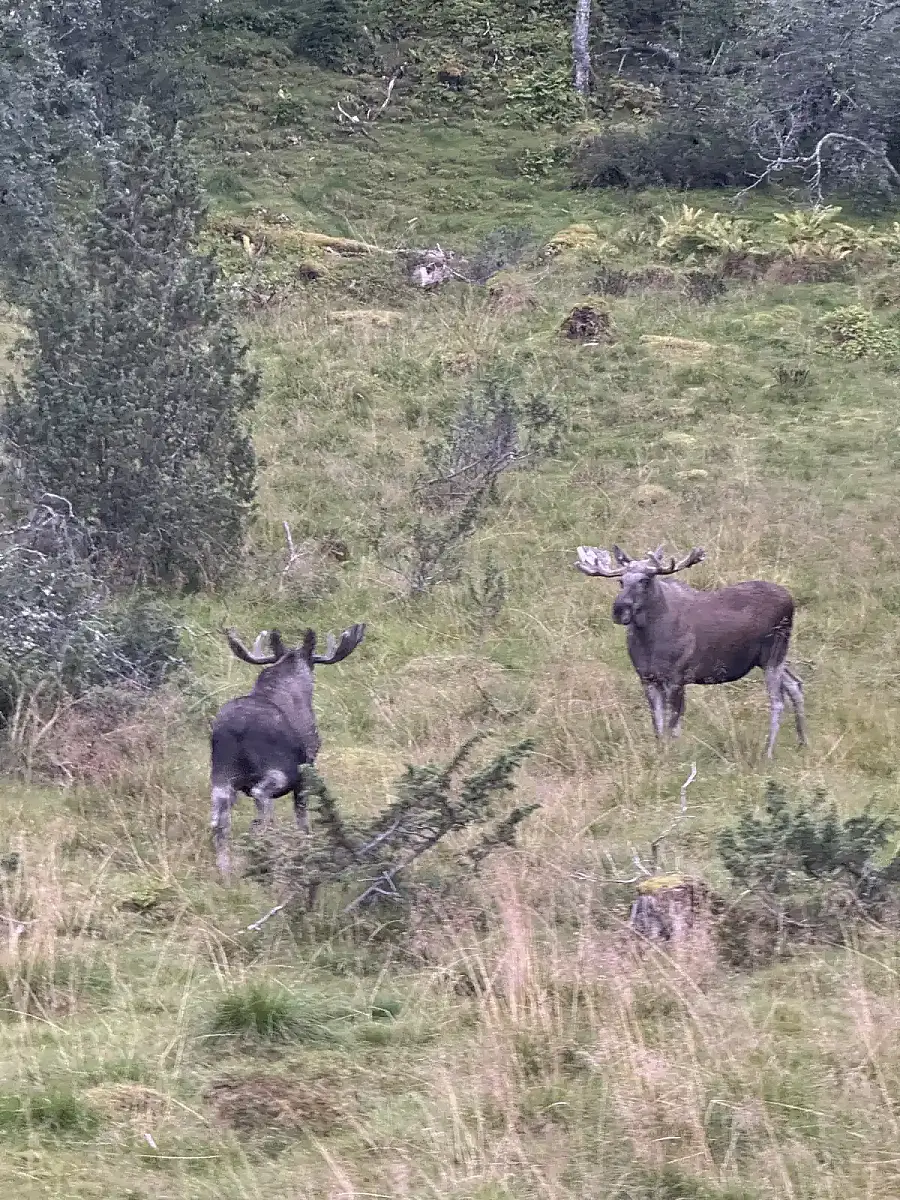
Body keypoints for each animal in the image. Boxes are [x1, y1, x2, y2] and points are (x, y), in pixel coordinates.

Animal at [210, 622, 366, 875]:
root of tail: (235, 730)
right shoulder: (307, 768)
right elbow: (302, 818)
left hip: (221, 777)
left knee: (219, 822)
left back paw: (226, 872)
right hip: (278, 770)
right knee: (260, 799)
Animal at [574, 544, 806, 758]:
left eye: (645, 580)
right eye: (621, 581)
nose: (619, 610)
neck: (649, 641)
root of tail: (791, 601)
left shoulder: (676, 679)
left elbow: (671, 726)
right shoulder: (647, 678)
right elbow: (658, 726)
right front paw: (660, 755)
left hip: (773, 654)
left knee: (778, 700)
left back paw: (768, 752)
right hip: (768, 658)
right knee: (795, 683)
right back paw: (802, 742)